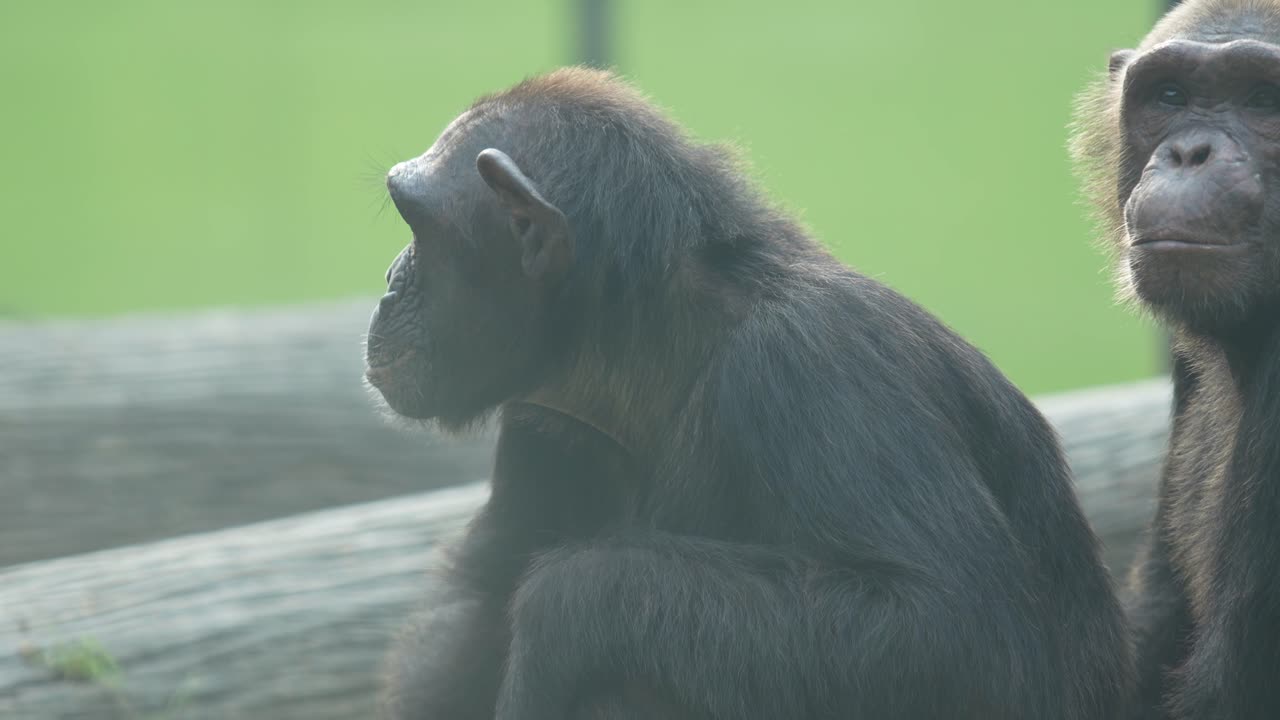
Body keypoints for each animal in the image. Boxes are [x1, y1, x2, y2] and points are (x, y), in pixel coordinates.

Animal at [368, 67, 1132, 719]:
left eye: (417, 228)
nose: (389, 280)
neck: (647, 345)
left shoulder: (817, 364)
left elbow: (949, 625)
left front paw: (561, 605)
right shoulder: (540, 422)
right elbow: (481, 597)